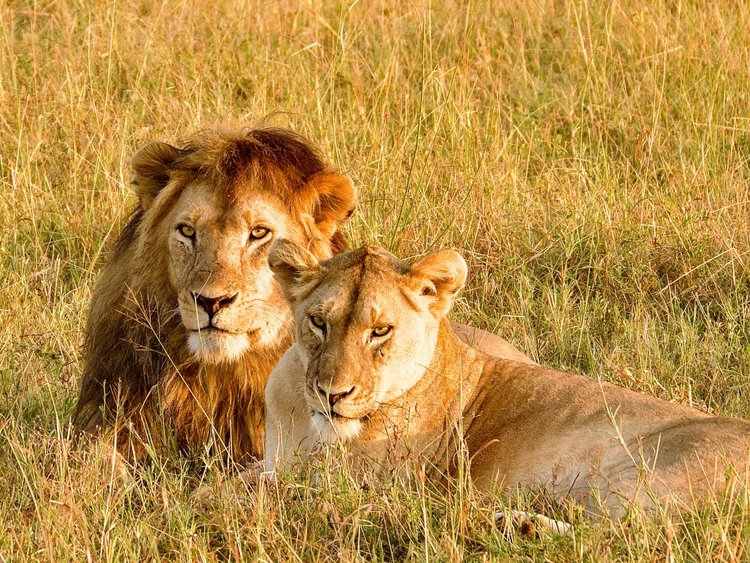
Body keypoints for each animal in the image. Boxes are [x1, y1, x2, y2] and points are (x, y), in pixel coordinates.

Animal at [263, 240, 750, 517]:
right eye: (318, 322)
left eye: (381, 330)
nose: (331, 394)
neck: (305, 421)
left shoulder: (353, 483)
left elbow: (254, 492)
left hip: (647, 478)